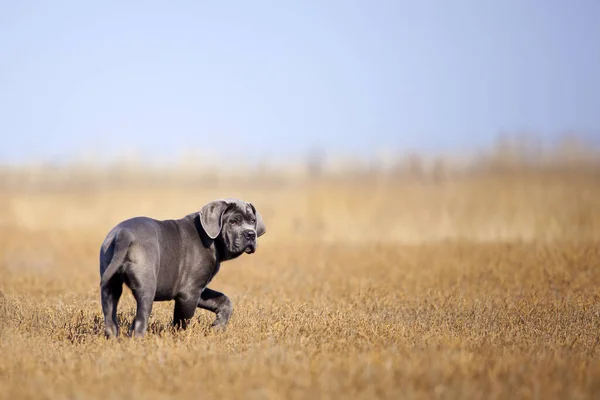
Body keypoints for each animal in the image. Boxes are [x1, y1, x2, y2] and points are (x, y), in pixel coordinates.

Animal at [98, 197, 264, 338]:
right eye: (233, 221)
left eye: (253, 220)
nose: (251, 234)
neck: (212, 239)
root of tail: (123, 233)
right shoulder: (189, 293)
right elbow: (181, 322)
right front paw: (179, 339)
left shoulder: (198, 289)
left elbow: (224, 300)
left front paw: (217, 326)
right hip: (147, 287)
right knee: (140, 321)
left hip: (110, 286)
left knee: (110, 319)